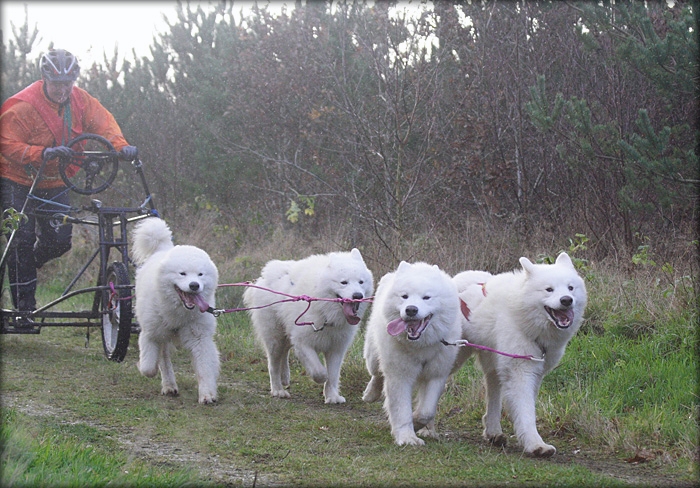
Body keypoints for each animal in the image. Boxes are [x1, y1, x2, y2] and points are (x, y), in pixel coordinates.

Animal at [131, 218, 219, 404]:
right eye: (182, 274)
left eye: (200, 274)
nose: (194, 285)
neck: (178, 312)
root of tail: (163, 248)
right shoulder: (150, 334)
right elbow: (148, 367)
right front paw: (148, 369)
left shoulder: (200, 338)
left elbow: (205, 368)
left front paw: (207, 394)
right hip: (161, 334)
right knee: (164, 359)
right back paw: (169, 385)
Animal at [243, 248, 372, 404]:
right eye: (344, 282)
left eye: (361, 282)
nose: (358, 295)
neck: (326, 312)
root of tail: (262, 278)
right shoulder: (303, 343)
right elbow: (320, 371)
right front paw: (322, 380)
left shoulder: (336, 348)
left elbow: (333, 375)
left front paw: (332, 396)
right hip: (275, 338)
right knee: (273, 364)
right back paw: (278, 390)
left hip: (286, 335)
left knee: (284, 353)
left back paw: (285, 376)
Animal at [364, 264, 462, 446]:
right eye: (404, 296)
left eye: (426, 298)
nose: (411, 309)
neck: (420, 345)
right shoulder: (399, 376)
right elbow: (401, 410)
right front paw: (407, 437)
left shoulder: (436, 375)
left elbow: (426, 411)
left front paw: (417, 422)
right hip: (373, 357)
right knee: (377, 374)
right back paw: (370, 394)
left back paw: (429, 430)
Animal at [454, 254, 584, 456]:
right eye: (549, 289)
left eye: (570, 288)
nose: (566, 300)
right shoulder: (520, 371)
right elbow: (526, 411)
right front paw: (536, 444)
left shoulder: (535, 372)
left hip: (494, 367)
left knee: (493, 399)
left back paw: (494, 433)